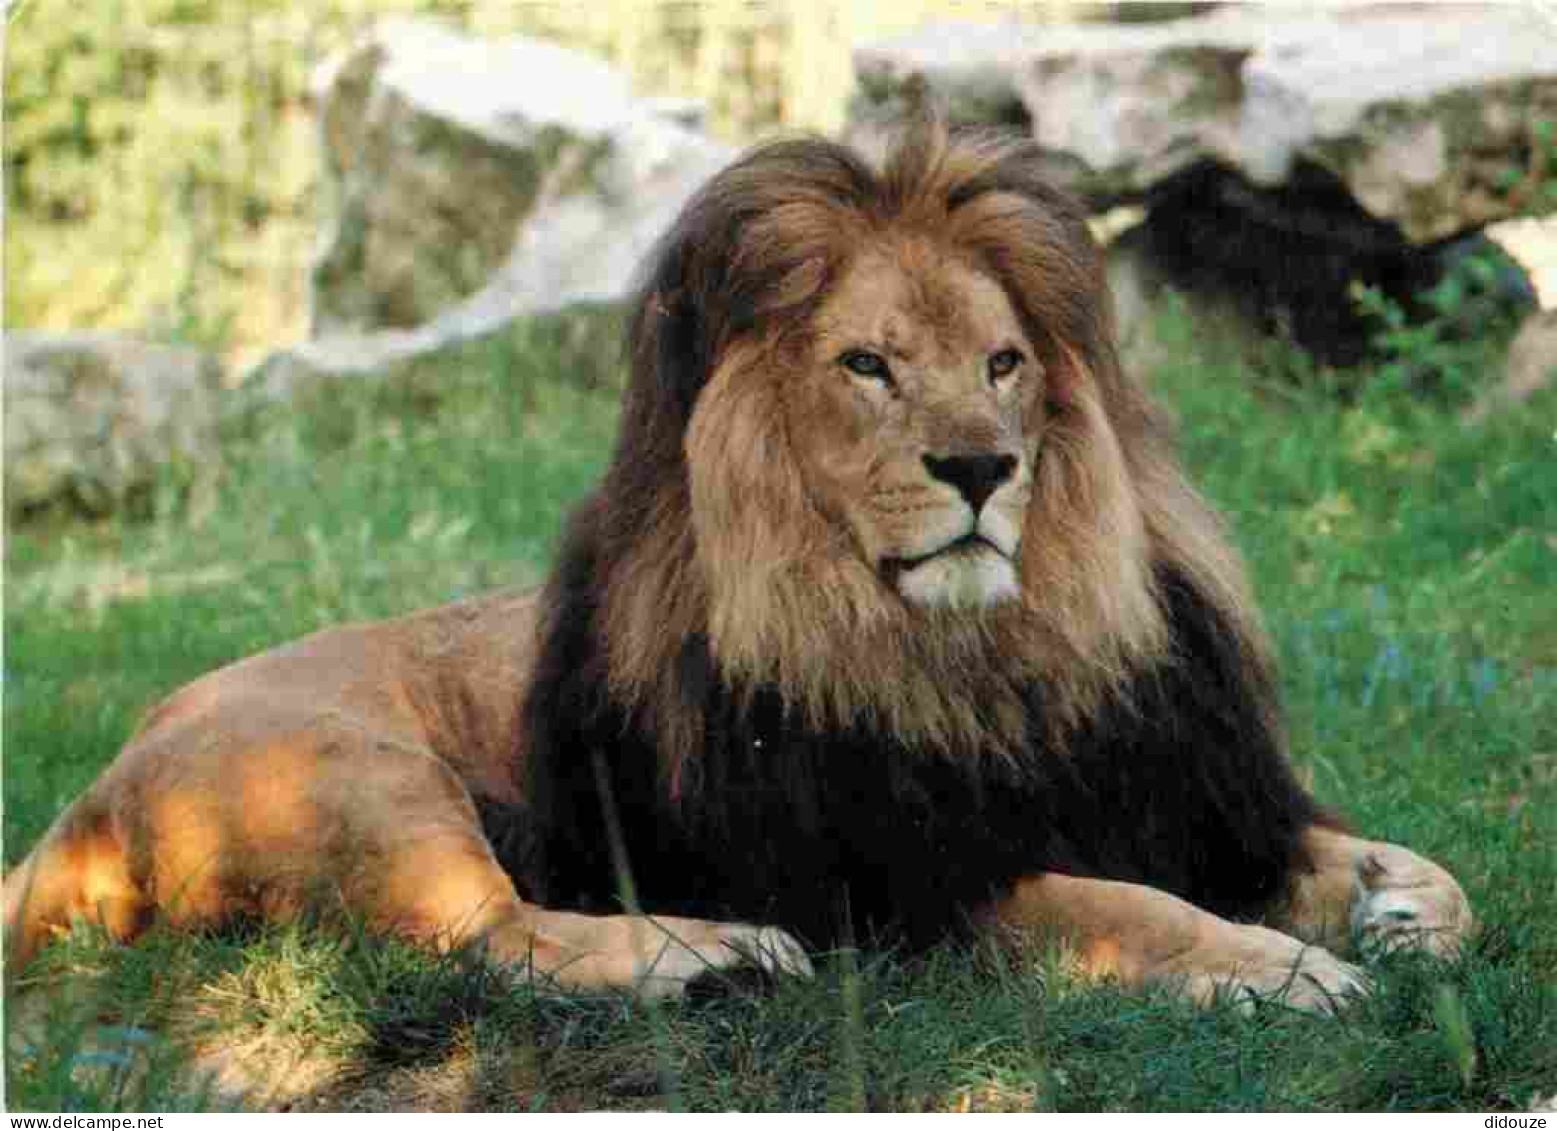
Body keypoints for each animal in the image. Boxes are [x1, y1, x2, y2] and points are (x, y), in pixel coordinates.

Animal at [6, 119, 1469, 1015]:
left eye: (1004, 362)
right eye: (868, 365)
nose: (982, 467)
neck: (981, 656)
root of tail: (83, 804)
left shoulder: (1193, 796)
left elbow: (1425, 874)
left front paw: (1398, 908)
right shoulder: (883, 887)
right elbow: (1111, 903)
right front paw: (1287, 970)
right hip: (357, 773)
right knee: (495, 937)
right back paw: (713, 958)